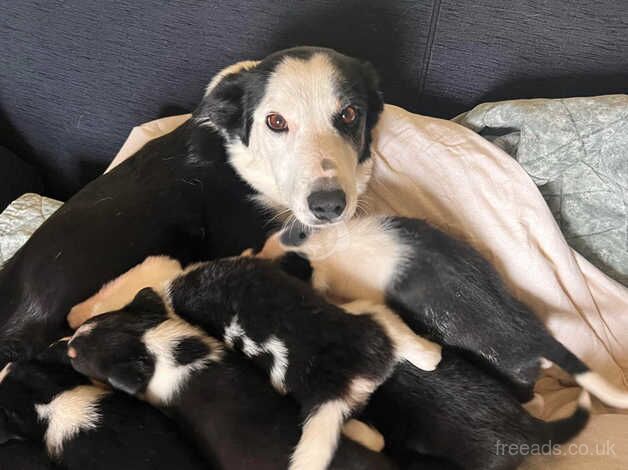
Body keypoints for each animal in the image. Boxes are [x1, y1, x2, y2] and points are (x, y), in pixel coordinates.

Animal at [68, 258, 440, 470]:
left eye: (79, 358)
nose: (67, 339)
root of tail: (342, 375)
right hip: (363, 319)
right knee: (393, 329)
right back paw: (429, 355)